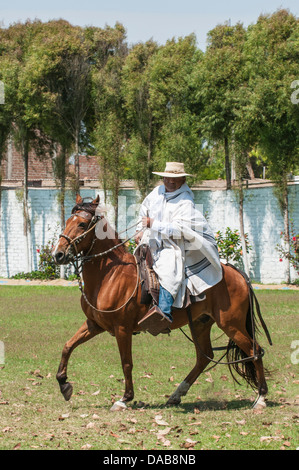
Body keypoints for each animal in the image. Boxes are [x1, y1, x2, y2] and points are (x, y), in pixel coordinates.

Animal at [52, 195, 274, 412]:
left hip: (231, 324)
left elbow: (126, 363)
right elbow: (67, 346)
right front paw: (63, 383)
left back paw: (261, 398)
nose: (58, 254)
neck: (110, 276)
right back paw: (176, 395)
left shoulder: (122, 329)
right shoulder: (94, 324)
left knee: (254, 351)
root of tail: (238, 273)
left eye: (82, 224)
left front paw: (125, 398)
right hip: (201, 323)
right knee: (204, 357)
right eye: (67, 222)